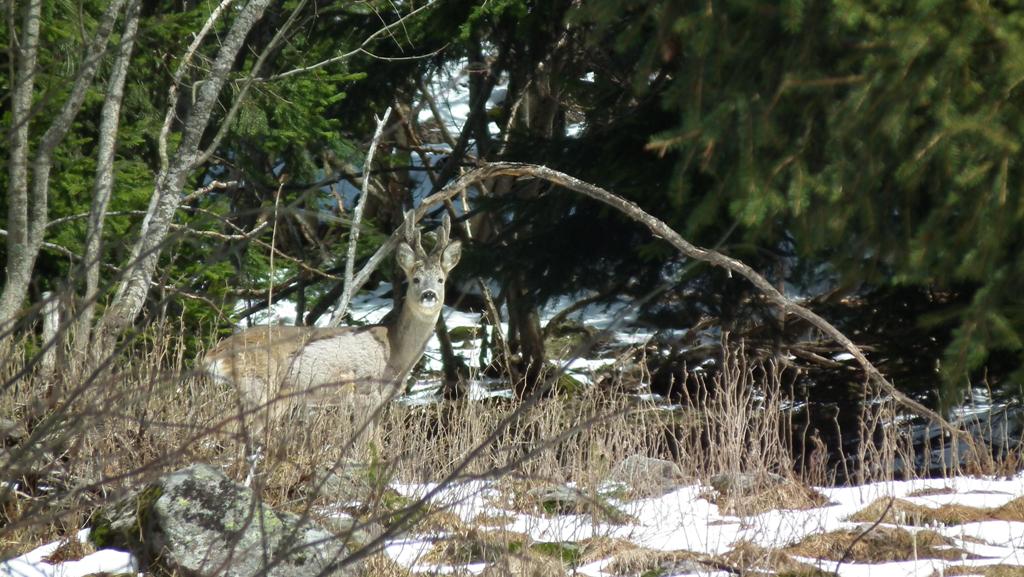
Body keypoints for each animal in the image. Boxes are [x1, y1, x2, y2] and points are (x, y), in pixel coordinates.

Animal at [205, 212, 462, 438]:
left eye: (441, 279)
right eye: (415, 279)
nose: (429, 295)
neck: (395, 351)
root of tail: (213, 354)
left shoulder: (381, 401)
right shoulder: (365, 391)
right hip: (260, 387)